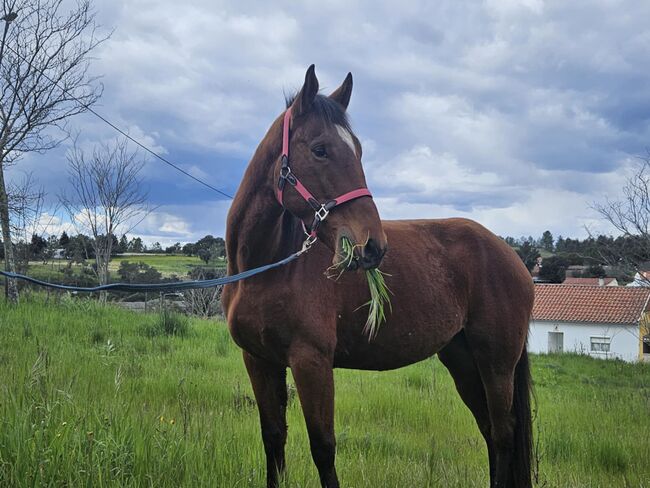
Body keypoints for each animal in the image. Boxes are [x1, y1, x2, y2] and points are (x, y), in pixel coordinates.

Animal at [223, 66, 532, 488]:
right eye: (320, 149)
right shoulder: (259, 361)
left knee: (502, 434)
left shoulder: (311, 362)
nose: (372, 245)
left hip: (497, 362)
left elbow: (323, 448)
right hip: (463, 359)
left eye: (359, 150)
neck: (265, 269)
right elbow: (273, 439)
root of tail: (511, 256)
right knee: (489, 430)